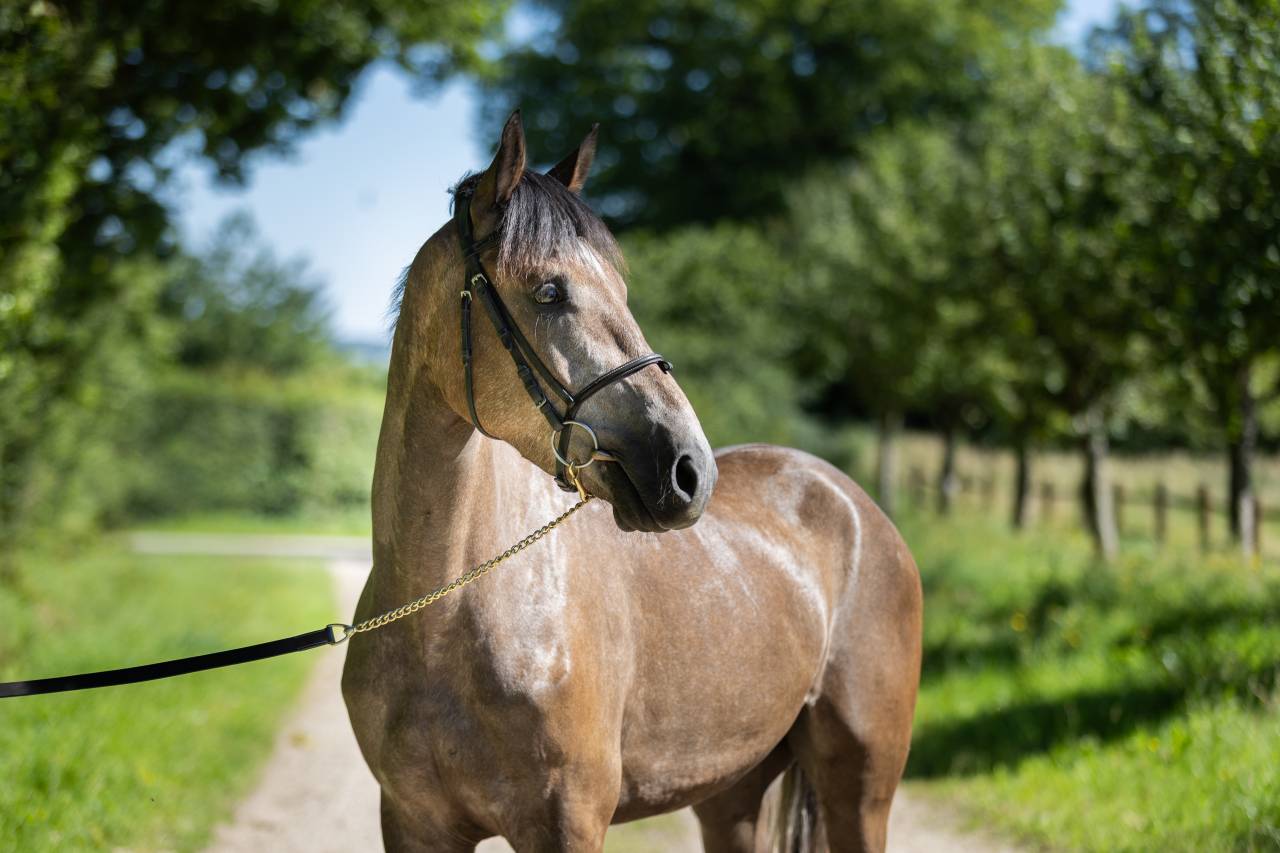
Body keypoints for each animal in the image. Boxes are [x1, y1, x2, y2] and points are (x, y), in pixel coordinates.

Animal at [341, 111, 922, 853]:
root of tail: (857, 507)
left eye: (621, 292)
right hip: (732, 792)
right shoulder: (414, 824)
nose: (689, 468)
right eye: (549, 292)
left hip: (862, 794)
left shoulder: (567, 824)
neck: (446, 615)